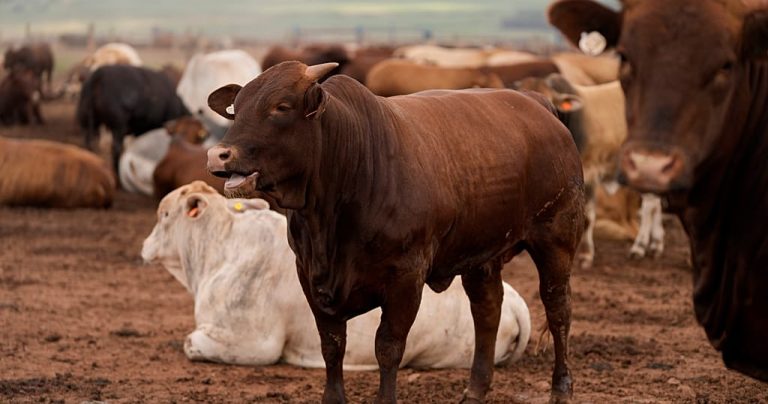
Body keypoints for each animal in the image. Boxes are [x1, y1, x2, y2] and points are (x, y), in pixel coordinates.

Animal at [141, 181, 531, 368]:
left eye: (163, 215)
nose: (144, 246)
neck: (217, 250)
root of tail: (516, 303)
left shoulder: (255, 343)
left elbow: (191, 341)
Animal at [206, 61, 585, 403]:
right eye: (236, 109)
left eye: (281, 107)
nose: (218, 154)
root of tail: (536, 102)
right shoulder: (309, 273)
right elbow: (332, 345)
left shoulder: (406, 276)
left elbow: (388, 347)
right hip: (482, 253)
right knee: (487, 309)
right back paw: (476, 390)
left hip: (556, 239)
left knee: (559, 309)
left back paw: (561, 389)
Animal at [515, 74, 665, 268]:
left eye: (549, 103)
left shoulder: (590, 172)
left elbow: (587, 218)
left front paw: (586, 255)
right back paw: (656, 244)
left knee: (650, 205)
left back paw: (639, 247)